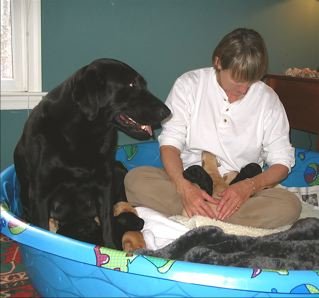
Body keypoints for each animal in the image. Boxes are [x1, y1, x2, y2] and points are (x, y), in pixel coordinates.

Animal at [14, 58, 172, 249]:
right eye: (131, 84)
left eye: (143, 84)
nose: (167, 112)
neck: (84, 132)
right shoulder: (41, 194)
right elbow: (43, 231)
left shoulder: (104, 185)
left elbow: (108, 227)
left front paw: (112, 250)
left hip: (118, 170)